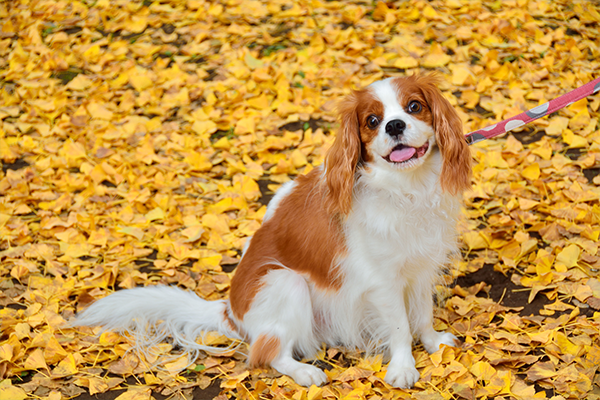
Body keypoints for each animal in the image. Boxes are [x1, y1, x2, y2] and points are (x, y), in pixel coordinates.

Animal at [75, 74, 472, 388]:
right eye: (372, 121)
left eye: (414, 106)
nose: (394, 126)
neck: (404, 188)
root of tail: (230, 312)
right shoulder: (382, 280)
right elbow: (401, 326)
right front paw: (403, 367)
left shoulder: (419, 266)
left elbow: (422, 314)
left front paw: (433, 344)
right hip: (284, 281)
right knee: (266, 352)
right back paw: (305, 372)